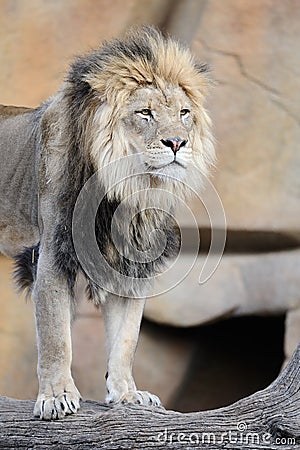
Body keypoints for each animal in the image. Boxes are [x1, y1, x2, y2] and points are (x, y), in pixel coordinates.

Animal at [0, 27, 216, 418]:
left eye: (184, 112)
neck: (128, 187)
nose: (178, 142)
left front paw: (128, 394)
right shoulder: (52, 253)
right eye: (145, 113)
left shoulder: (132, 261)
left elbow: (126, 338)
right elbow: (56, 335)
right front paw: (56, 396)